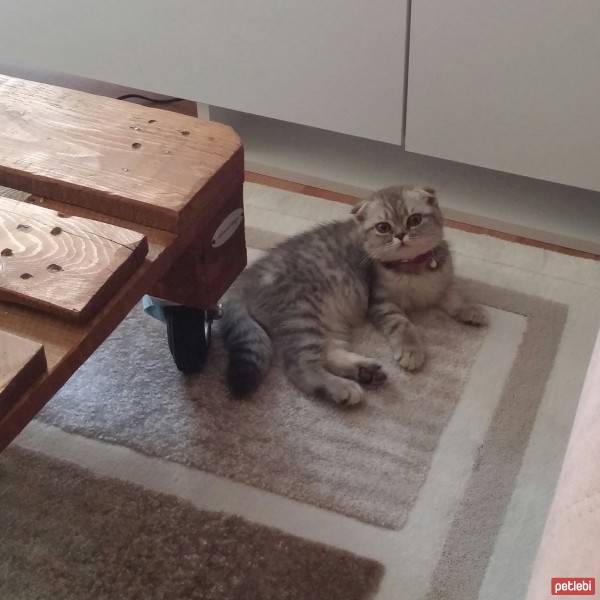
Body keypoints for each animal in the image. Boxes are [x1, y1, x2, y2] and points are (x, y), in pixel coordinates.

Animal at [223, 185, 486, 406]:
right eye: (383, 227)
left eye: (415, 220)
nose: (400, 235)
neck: (414, 268)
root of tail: (244, 280)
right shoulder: (381, 302)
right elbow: (403, 324)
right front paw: (412, 350)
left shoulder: (442, 281)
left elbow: (454, 295)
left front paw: (471, 310)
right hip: (302, 314)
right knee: (299, 365)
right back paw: (342, 388)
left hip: (328, 321)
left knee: (328, 353)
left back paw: (364, 371)